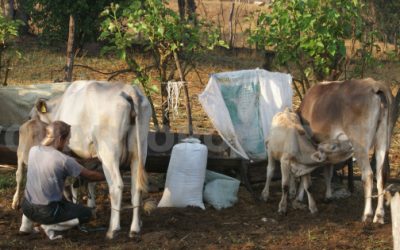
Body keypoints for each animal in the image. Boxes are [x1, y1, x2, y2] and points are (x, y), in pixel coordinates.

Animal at [30, 81, 152, 239]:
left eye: (31, 116)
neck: (60, 106)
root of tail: (130, 90)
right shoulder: (91, 157)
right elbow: (89, 181)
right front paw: (91, 206)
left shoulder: (70, 152)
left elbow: (75, 182)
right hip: (139, 151)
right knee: (136, 186)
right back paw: (135, 228)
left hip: (109, 153)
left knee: (116, 186)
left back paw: (113, 229)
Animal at [296, 77, 394, 223]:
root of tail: (375, 85)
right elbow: (328, 170)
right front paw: (328, 196)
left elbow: (307, 172)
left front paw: (300, 196)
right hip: (383, 141)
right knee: (381, 175)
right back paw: (379, 215)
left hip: (360, 144)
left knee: (368, 175)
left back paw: (367, 214)